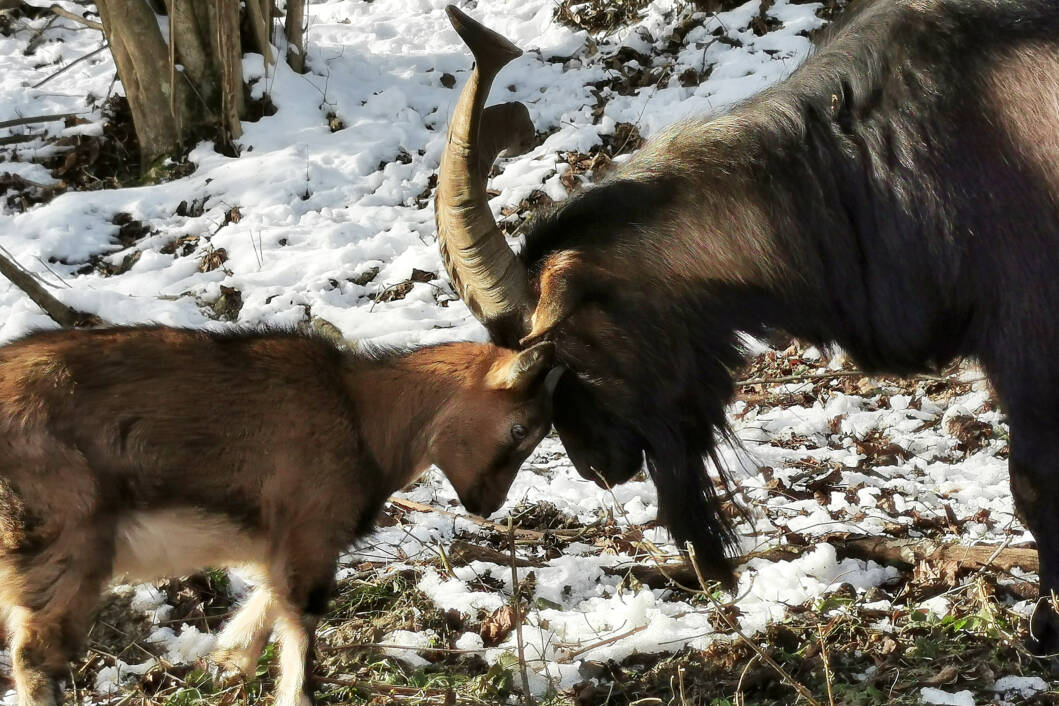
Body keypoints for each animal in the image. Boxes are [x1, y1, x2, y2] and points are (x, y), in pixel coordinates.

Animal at [0, 328, 554, 706]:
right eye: (519, 429)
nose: (488, 504)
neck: (361, 414)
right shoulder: (311, 530)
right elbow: (301, 629)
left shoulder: (279, 538)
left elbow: (267, 603)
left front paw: (228, 660)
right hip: (65, 543)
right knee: (35, 659)